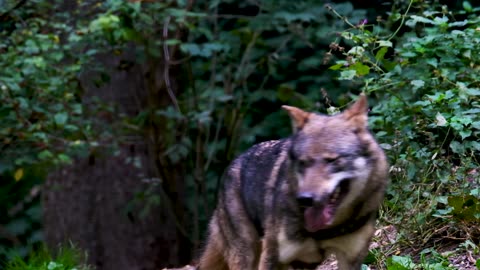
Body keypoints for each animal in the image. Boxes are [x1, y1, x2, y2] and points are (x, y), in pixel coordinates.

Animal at [199, 94, 390, 268]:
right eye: (303, 162)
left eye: (332, 160)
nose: (305, 198)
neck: (325, 231)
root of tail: (234, 162)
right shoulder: (273, 257)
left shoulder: (349, 258)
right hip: (247, 252)